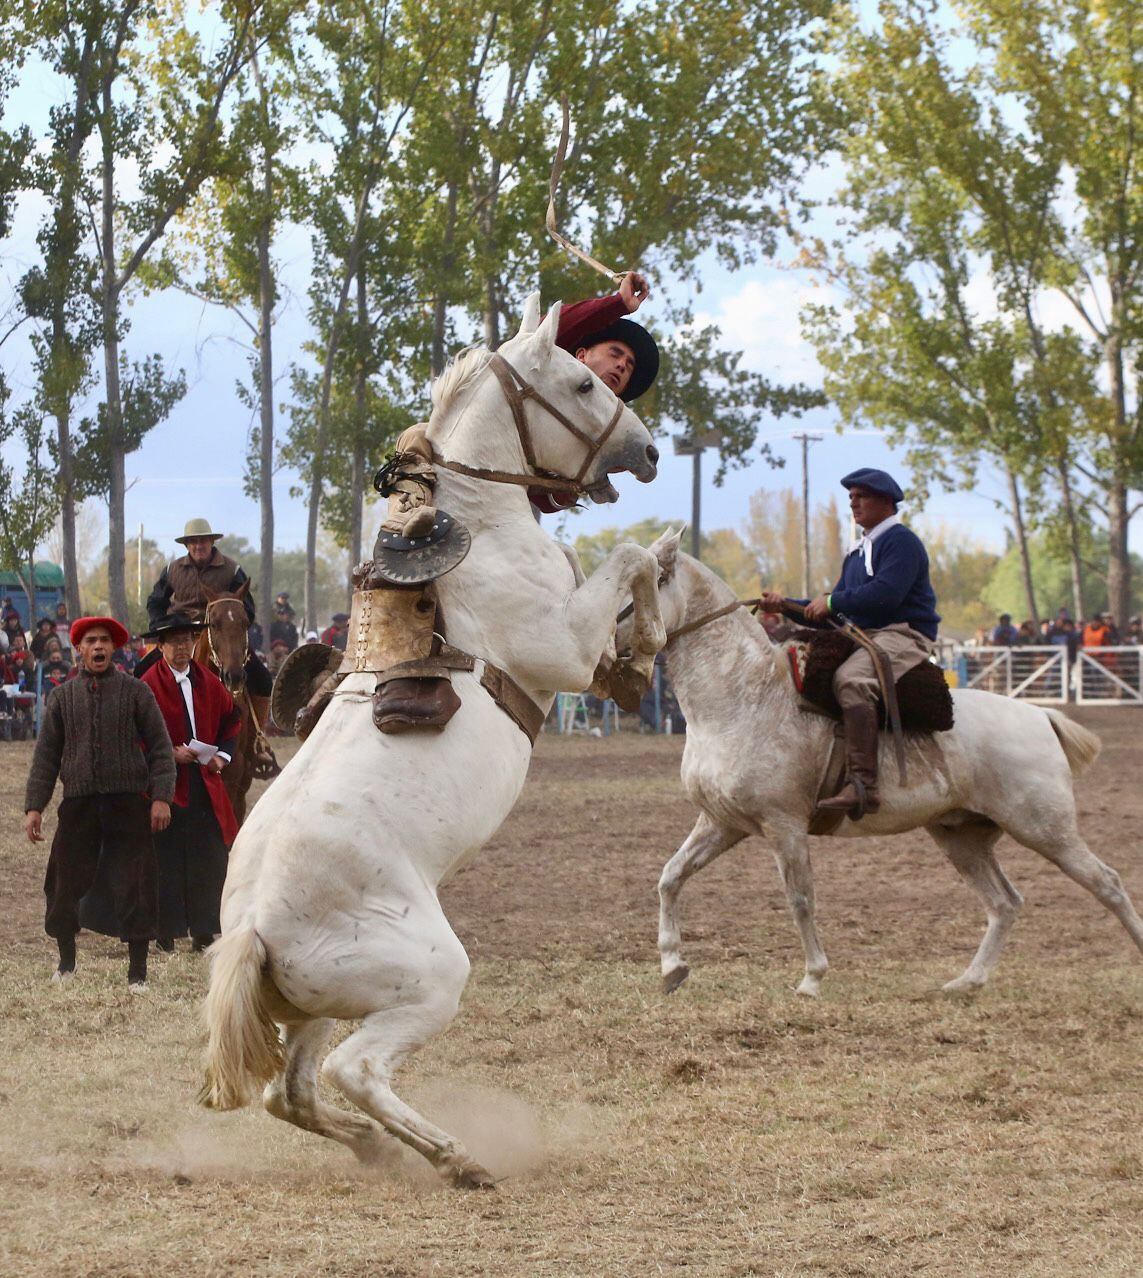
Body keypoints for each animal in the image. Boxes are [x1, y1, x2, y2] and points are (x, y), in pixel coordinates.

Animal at [202, 296, 664, 1185]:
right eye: (584, 382)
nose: (650, 451)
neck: (483, 528)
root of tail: (255, 928)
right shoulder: (562, 648)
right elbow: (632, 559)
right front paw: (648, 638)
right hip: (427, 980)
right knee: (354, 1071)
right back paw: (457, 1158)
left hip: (319, 1005)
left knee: (293, 1092)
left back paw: (381, 1148)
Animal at [626, 531, 1143, 996]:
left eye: (648, 580)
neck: (746, 695)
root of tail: (1040, 715)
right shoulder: (722, 822)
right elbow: (671, 877)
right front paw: (672, 966)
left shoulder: (784, 825)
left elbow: (800, 899)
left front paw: (812, 979)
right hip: (962, 837)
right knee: (1004, 903)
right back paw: (966, 982)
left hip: (1046, 829)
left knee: (1108, 883)